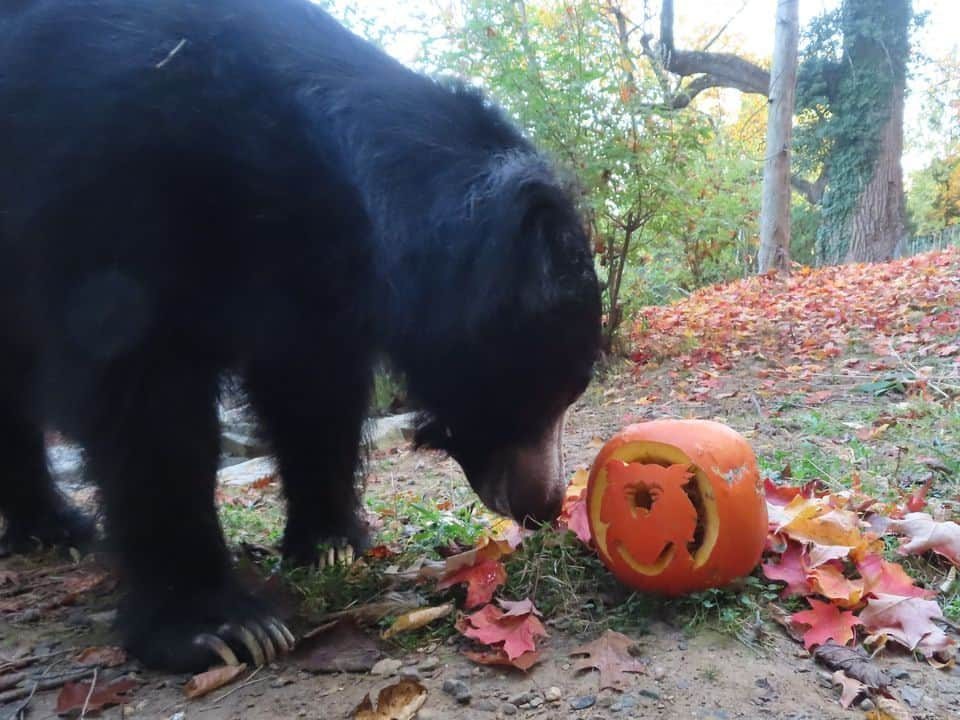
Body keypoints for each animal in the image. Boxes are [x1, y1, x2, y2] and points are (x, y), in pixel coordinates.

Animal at [0, 0, 600, 668]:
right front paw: (221, 627)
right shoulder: (107, 190)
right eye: (540, 394)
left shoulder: (308, 287)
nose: (543, 506)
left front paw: (329, 544)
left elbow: (313, 392)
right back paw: (56, 527)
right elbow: (143, 399)